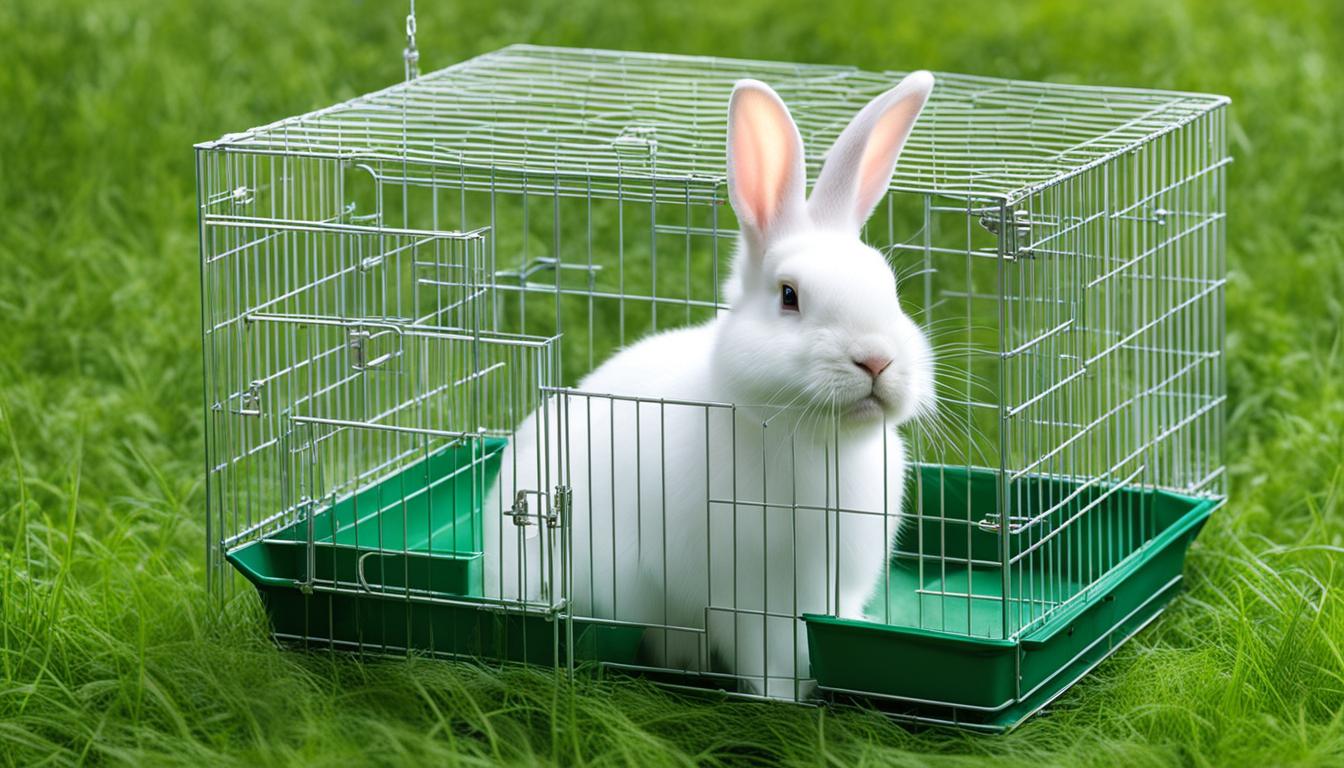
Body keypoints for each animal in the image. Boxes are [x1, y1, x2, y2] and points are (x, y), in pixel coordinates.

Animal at [482, 71, 936, 700]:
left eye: (891, 291)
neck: (814, 439)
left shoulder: (831, 590)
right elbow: (769, 665)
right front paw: (786, 704)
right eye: (789, 296)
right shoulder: (747, 602)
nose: (877, 360)